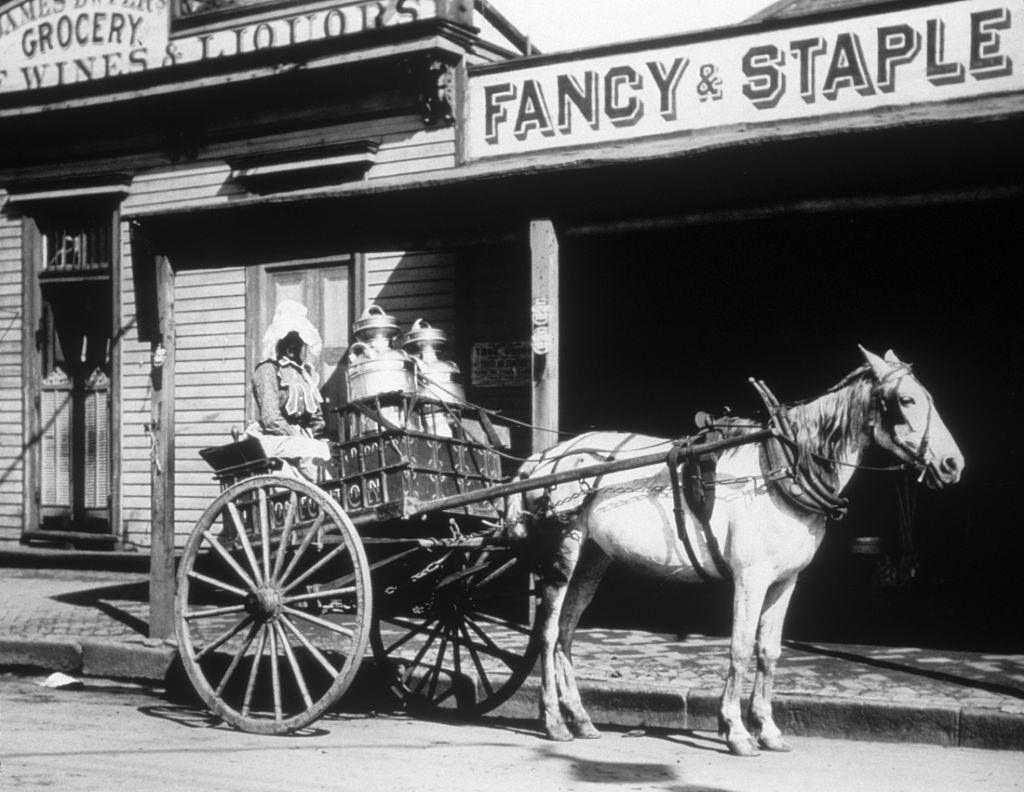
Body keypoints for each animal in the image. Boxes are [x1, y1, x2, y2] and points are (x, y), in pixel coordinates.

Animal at [516, 346, 962, 754]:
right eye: (906, 400)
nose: (953, 464)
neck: (782, 468)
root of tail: (544, 457)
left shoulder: (785, 581)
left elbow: (769, 651)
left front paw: (768, 729)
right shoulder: (751, 578)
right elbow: (740, 647)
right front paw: (736, 730)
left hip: (593, 557)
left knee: (566, 634)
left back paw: (581, 719)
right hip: (563, 551)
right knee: (548, 633)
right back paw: (554, 722)